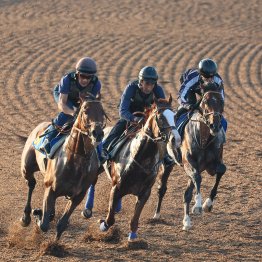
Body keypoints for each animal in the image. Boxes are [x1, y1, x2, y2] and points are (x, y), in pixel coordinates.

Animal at [20, 95, 107, 239]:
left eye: (102, 111)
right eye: (85, 110)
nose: (98, 133)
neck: (76, 162)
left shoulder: (78, 196)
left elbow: (61, 225)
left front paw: (54, 242)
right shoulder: (50, 188)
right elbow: (43, 225)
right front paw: (38, 213)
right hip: (26, 167)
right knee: (31, 184)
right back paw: (26, 217)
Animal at [96, 95, 178, 239]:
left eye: (174, 115)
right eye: (160, 117)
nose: (175, 139)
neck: (140, 159)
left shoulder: (144, 193)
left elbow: (135, 218)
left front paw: (132, 236)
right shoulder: (116, 188)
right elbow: (110, 219)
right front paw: (103, 225)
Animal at [155, 83, 226, 230]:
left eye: (221, 101)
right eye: (205, 101)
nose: (215, 126)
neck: (203, 139)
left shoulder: (213, 163)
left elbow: (221, 170)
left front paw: (208, 204)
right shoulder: (189, 163)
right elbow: (197, 178)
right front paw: (198, 205)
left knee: (187, 192)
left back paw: (187, 221)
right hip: (167, 164)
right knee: (162, 188)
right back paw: (157, 215)